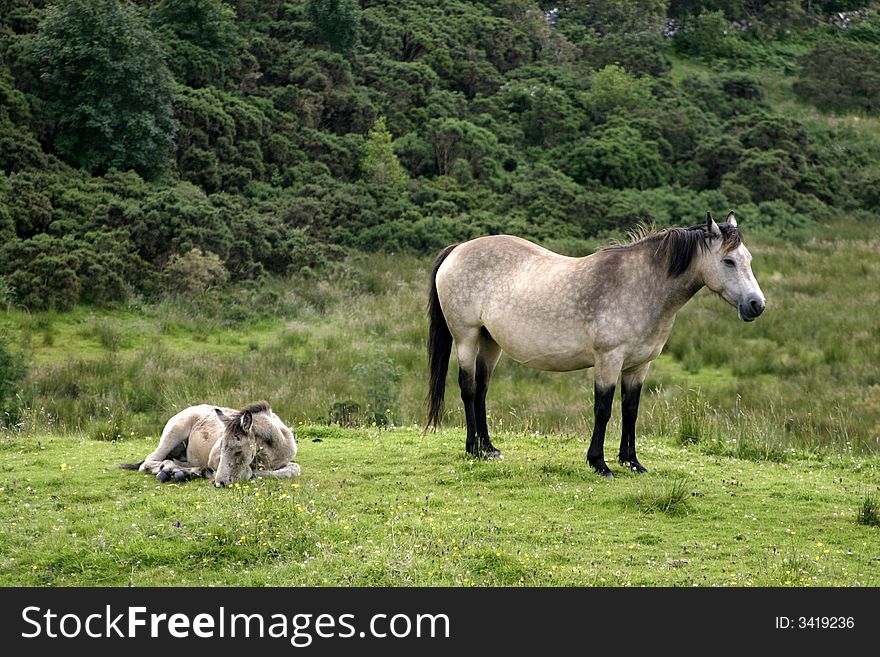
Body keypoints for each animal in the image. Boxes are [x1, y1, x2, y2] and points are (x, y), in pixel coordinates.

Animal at [426, 211, 764, 476]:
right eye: (729, 261)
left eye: (747, 259)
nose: (757, 305)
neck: (641, 286)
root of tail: (458, 249)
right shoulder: (608, 360)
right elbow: (603, 410)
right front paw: (599, 463)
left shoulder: (639, 366)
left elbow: (630, 410)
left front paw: (632, 462)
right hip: (467, 337)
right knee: (469, 389)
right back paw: (473, 448)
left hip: (490, 341)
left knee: (482, 390)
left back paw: (489, 447)